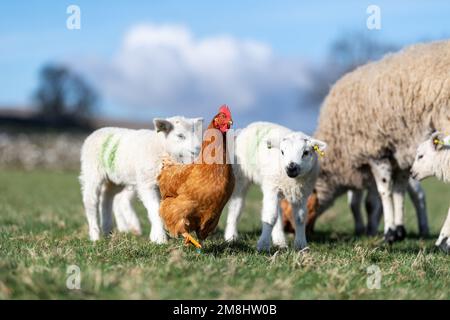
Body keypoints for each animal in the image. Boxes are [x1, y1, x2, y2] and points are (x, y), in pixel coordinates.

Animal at [222, 121, 326, 251]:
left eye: (306, 152)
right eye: (282, 152)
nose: (291, 168)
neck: (292, 181)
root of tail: (253, 124)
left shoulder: (301, 194)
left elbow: (300, 218)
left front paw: (301, 245)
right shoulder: (272, 189)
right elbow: (270, 217)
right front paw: (263, 245)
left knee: (279, 213)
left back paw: (279, 241)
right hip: (241, 177)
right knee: (236, 207)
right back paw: (231, 237)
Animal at [308, 40, 448, 242]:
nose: (291, 230)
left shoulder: (375, 153)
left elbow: (383, 194)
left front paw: (387, 232)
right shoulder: (400, 156)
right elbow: (394, 193)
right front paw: (396, 231)